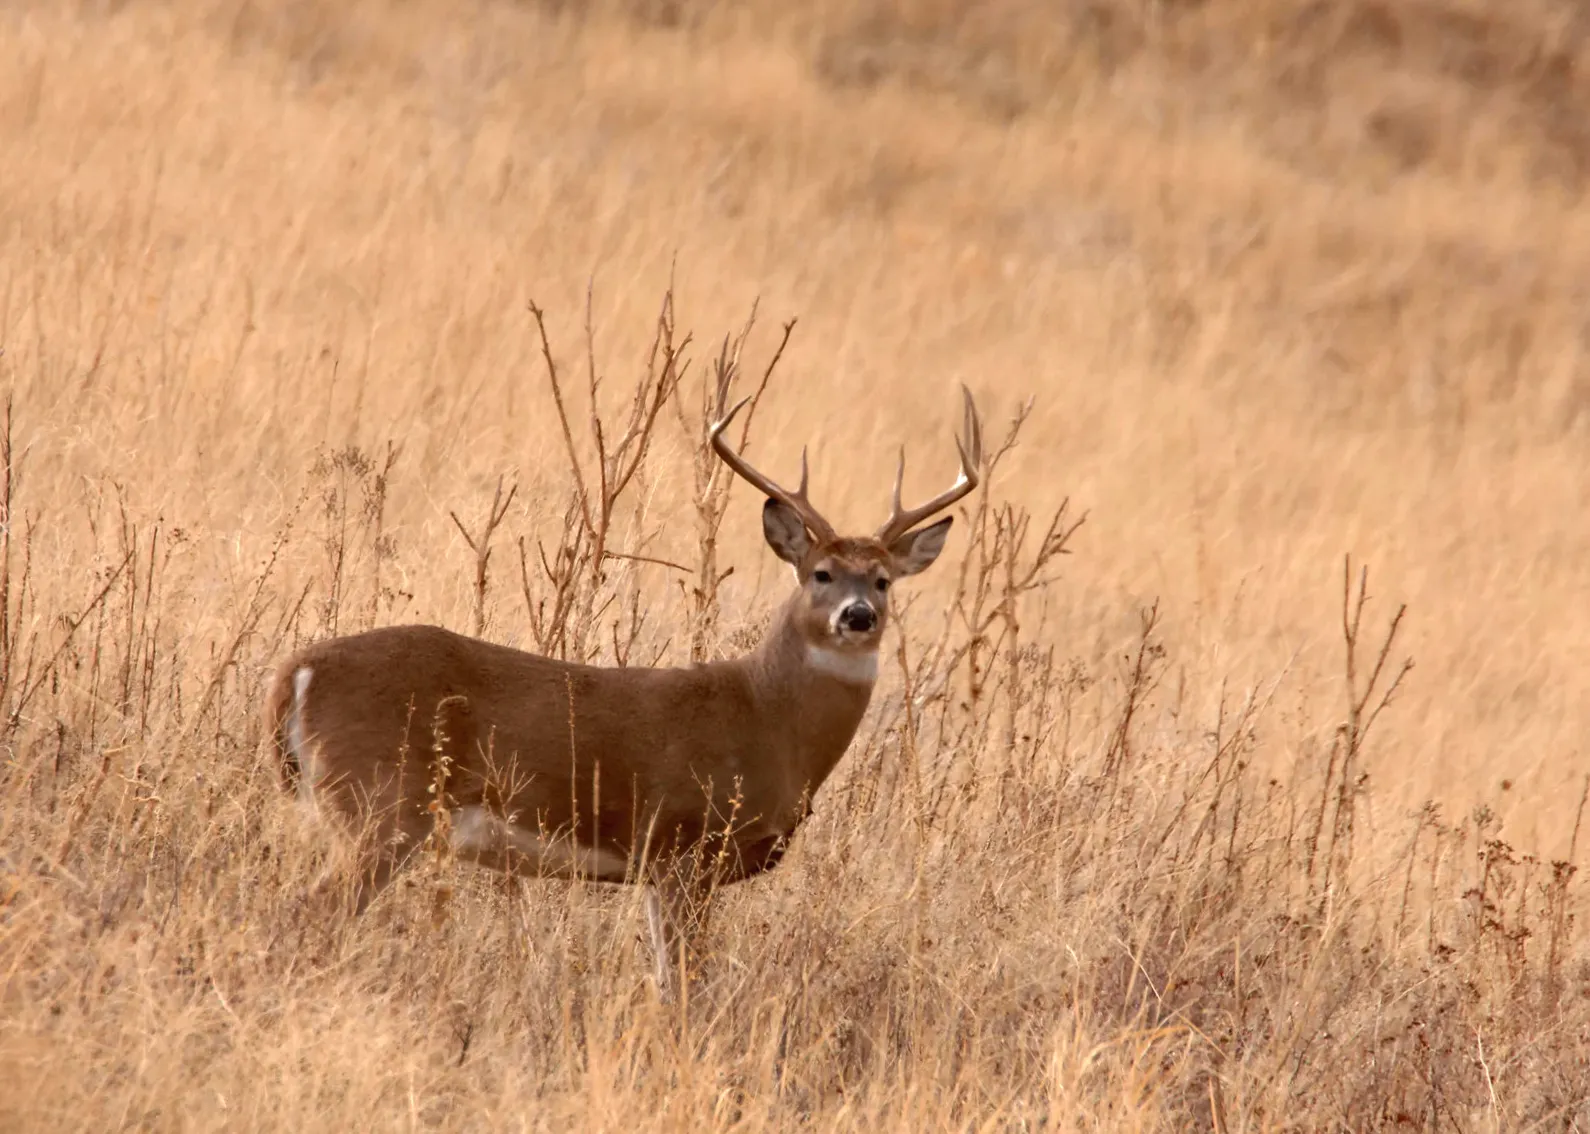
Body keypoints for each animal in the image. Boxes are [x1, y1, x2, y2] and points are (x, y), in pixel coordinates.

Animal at [265, 377, 983, 1001]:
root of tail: (295, 672)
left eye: (884, 581)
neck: (767, 719)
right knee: (307, 915)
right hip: (380, 806)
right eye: (821, 574)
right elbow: (683, 987)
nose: (857, 616)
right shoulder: (684, 846)